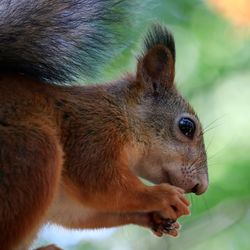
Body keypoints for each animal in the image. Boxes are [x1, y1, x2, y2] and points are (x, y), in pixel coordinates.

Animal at [0, 0, 209, 250]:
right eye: (186, 126)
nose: (202, 187)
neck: (123, 116)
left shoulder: (65, 201)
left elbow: (83, 213)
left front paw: (156, 218)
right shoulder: (92, 133)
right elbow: (102, 184)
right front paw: (161, 196)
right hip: (30, 151)